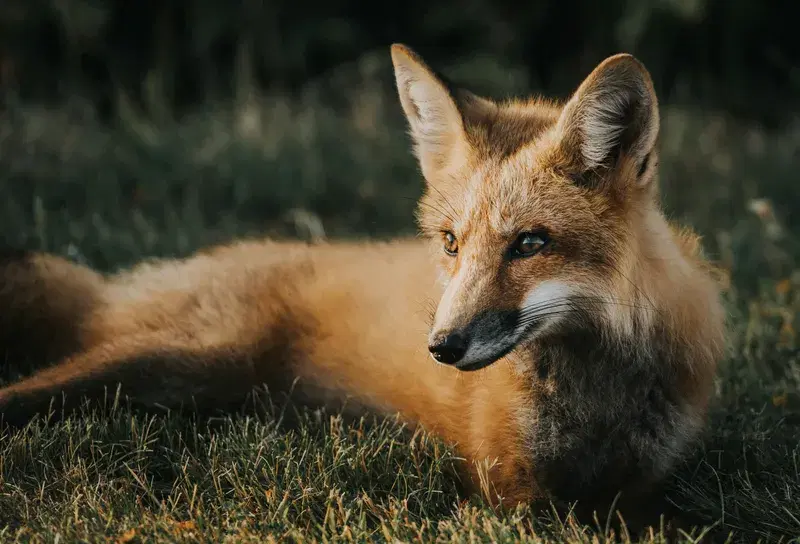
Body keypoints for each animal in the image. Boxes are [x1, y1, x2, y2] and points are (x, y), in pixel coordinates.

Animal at [0, 45, 724, 524]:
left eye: (530, 244)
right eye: (451, 243)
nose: (441, 347)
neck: (593, 401)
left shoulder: (647, 489)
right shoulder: (505, 492)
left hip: (185, 383)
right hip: (176, 357)